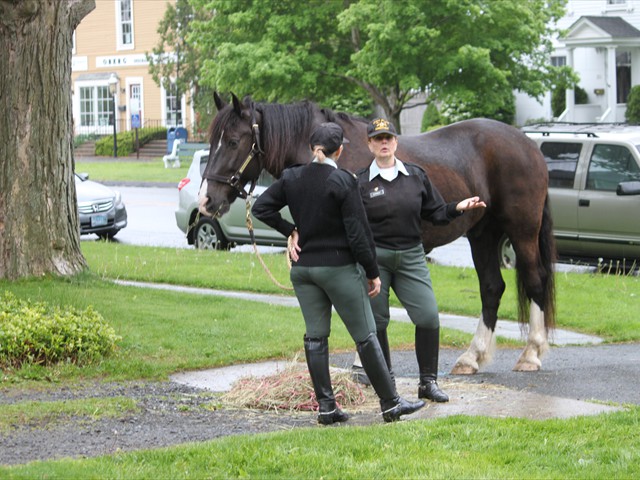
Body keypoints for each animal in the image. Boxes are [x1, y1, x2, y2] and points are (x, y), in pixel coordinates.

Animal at [199, 92, 556, 375]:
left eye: (233, 141)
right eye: (211, 140)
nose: (206, 201)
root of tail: (528, 144)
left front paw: (364, 362)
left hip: (522, 231)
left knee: (534, 280)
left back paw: (531, 353)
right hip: (482, 234)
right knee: (492, 288)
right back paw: (472, 357)